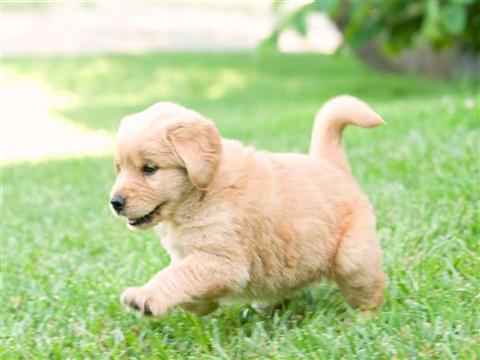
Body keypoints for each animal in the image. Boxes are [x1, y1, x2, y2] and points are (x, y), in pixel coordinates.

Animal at [109, 95, 386, 316]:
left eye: (149, 169)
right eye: (119, 168)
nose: (115, 203)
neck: (201, 193)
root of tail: (331, 164)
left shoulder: (223, 261)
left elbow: (177, 276)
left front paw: (145, 297)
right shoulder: (191, 257)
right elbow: (185, 281)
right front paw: (198, 305)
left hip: (353, 257)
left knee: (372, 288)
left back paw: (363, 319)